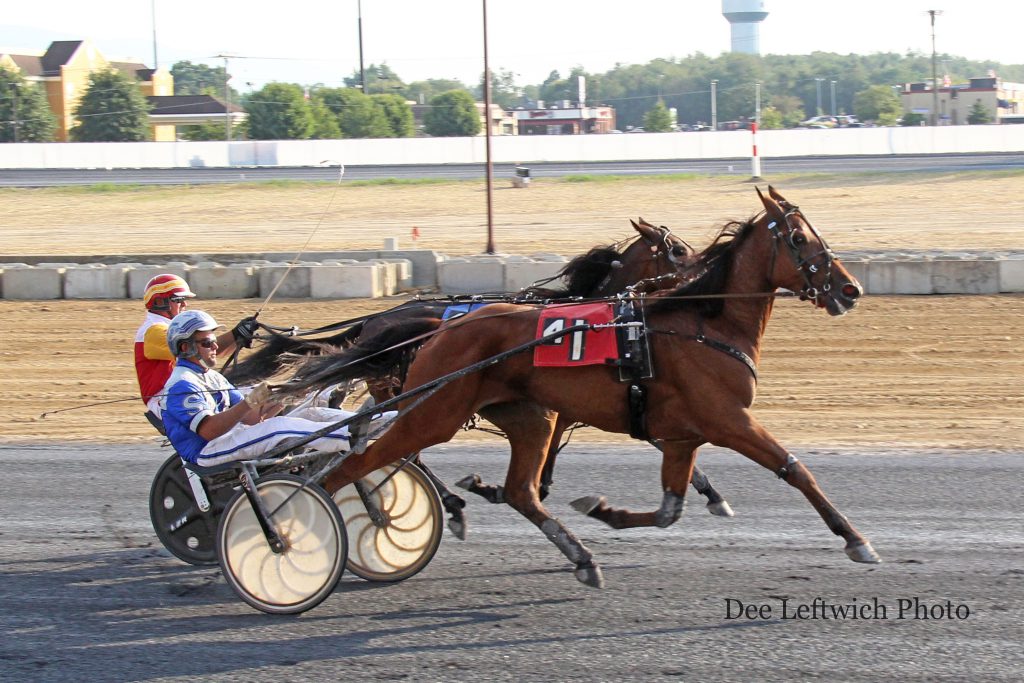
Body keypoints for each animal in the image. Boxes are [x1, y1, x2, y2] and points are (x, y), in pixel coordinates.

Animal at [288, 185, 880, 589]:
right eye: (800, 238)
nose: (851, 288)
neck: (702, 323)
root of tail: (439, 326)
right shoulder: (727, 420)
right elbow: (795, 470)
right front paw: (856, 540)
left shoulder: (679, 433)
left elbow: (669, 507)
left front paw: (605, 510)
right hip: (432, 410)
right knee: (361, 462)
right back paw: (312, 523)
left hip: (523, 414)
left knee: (519, 490)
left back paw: (577, 554)